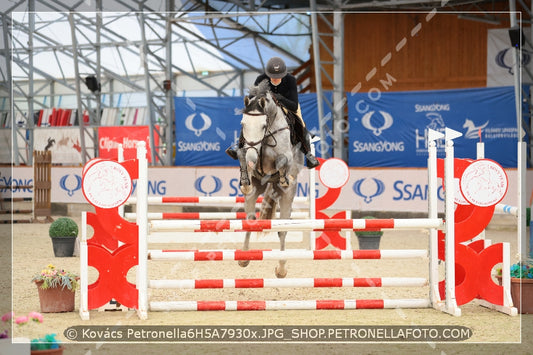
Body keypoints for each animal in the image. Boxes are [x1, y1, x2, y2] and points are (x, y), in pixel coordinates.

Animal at [237, 80, 304, 278]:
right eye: (243, 123)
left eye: (262, 125)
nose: (252, 157)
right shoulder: (249, 155)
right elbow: (242, 154)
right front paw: (244, 180)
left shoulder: (285, 156)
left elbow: (282, 159)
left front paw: (283, 176)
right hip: (256, 190)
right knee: (251, 219)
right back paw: (244, 258)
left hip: (287, 196)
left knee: (282, 230)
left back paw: (281, 269)